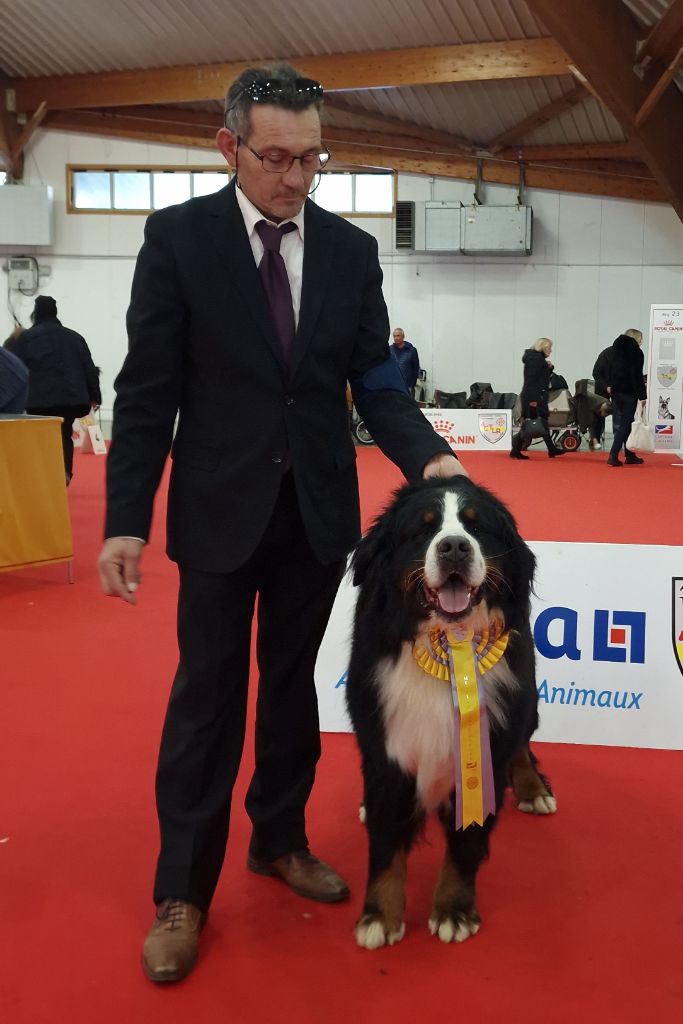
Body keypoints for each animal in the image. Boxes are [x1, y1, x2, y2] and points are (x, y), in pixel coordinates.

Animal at [345, 476, 555, 950]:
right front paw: (379, 917)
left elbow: (467, 841)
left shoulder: (487, 744)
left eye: (476, 528)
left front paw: (453, 910)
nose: (455, 547)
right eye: (423, 529)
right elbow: (385, 846)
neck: (445, 645)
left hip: (525, 697)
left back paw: (533, 789)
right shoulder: (386, 747)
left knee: (523, 744)